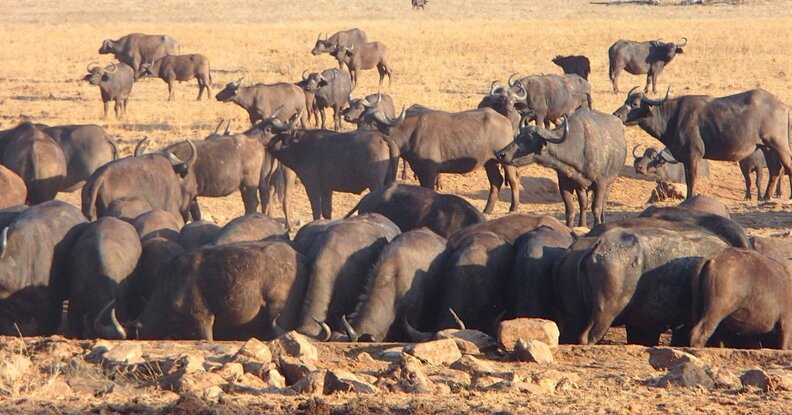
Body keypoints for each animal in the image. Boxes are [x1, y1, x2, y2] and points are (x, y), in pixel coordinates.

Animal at [614, 87, 792, 199]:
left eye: (635, 104)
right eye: (625, 100)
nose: (616, 114)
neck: (672, 117)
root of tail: (783, 106)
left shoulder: (694, 156)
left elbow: (693, 180)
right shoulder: (686, 159)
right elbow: (687, 181)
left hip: (779, 145)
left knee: (787, 166)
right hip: (767, 148)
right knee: (775, 169)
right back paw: (766, 197)